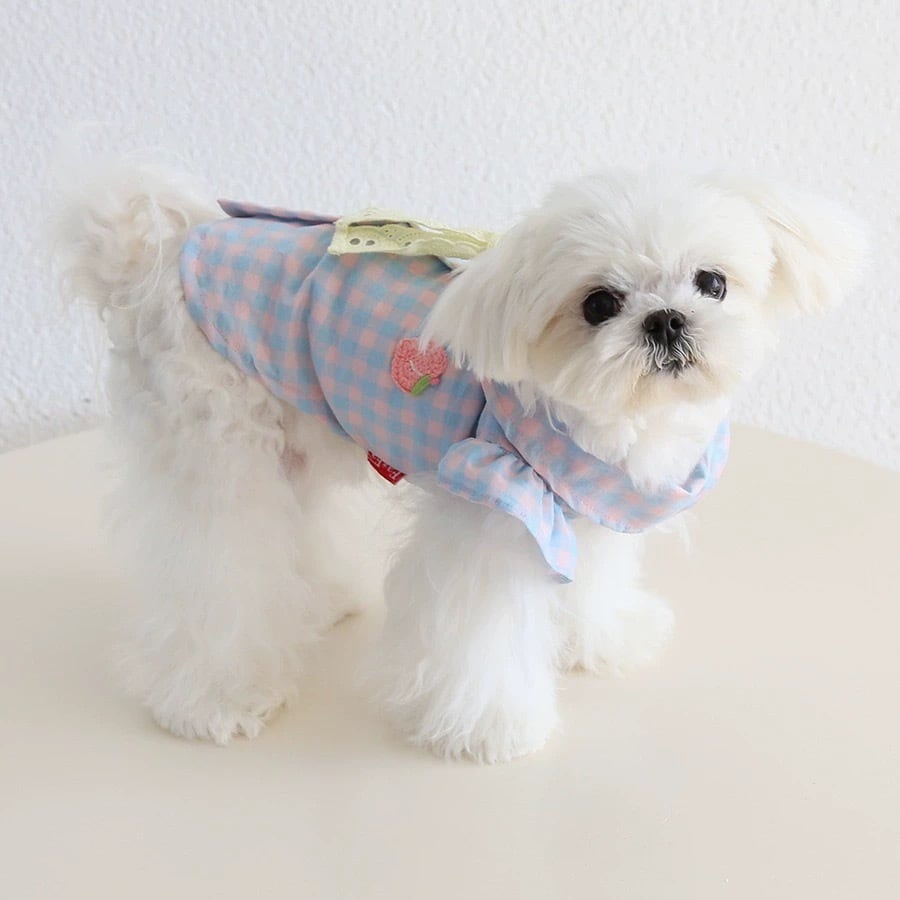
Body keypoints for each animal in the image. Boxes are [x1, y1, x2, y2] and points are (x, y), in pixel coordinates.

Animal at [53, 164, 865, 762]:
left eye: (713, 282)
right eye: (599, 304)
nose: (666, 320)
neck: (612, 423)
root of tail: (171, 243)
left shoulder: (585, 500)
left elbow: (594, 579)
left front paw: (600, 639)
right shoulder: (494, 514)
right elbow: (483, 634)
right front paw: (491, 728)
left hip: (294, 432)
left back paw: (321, 599)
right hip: (214, 444)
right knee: (220, 568)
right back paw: (220, 696)